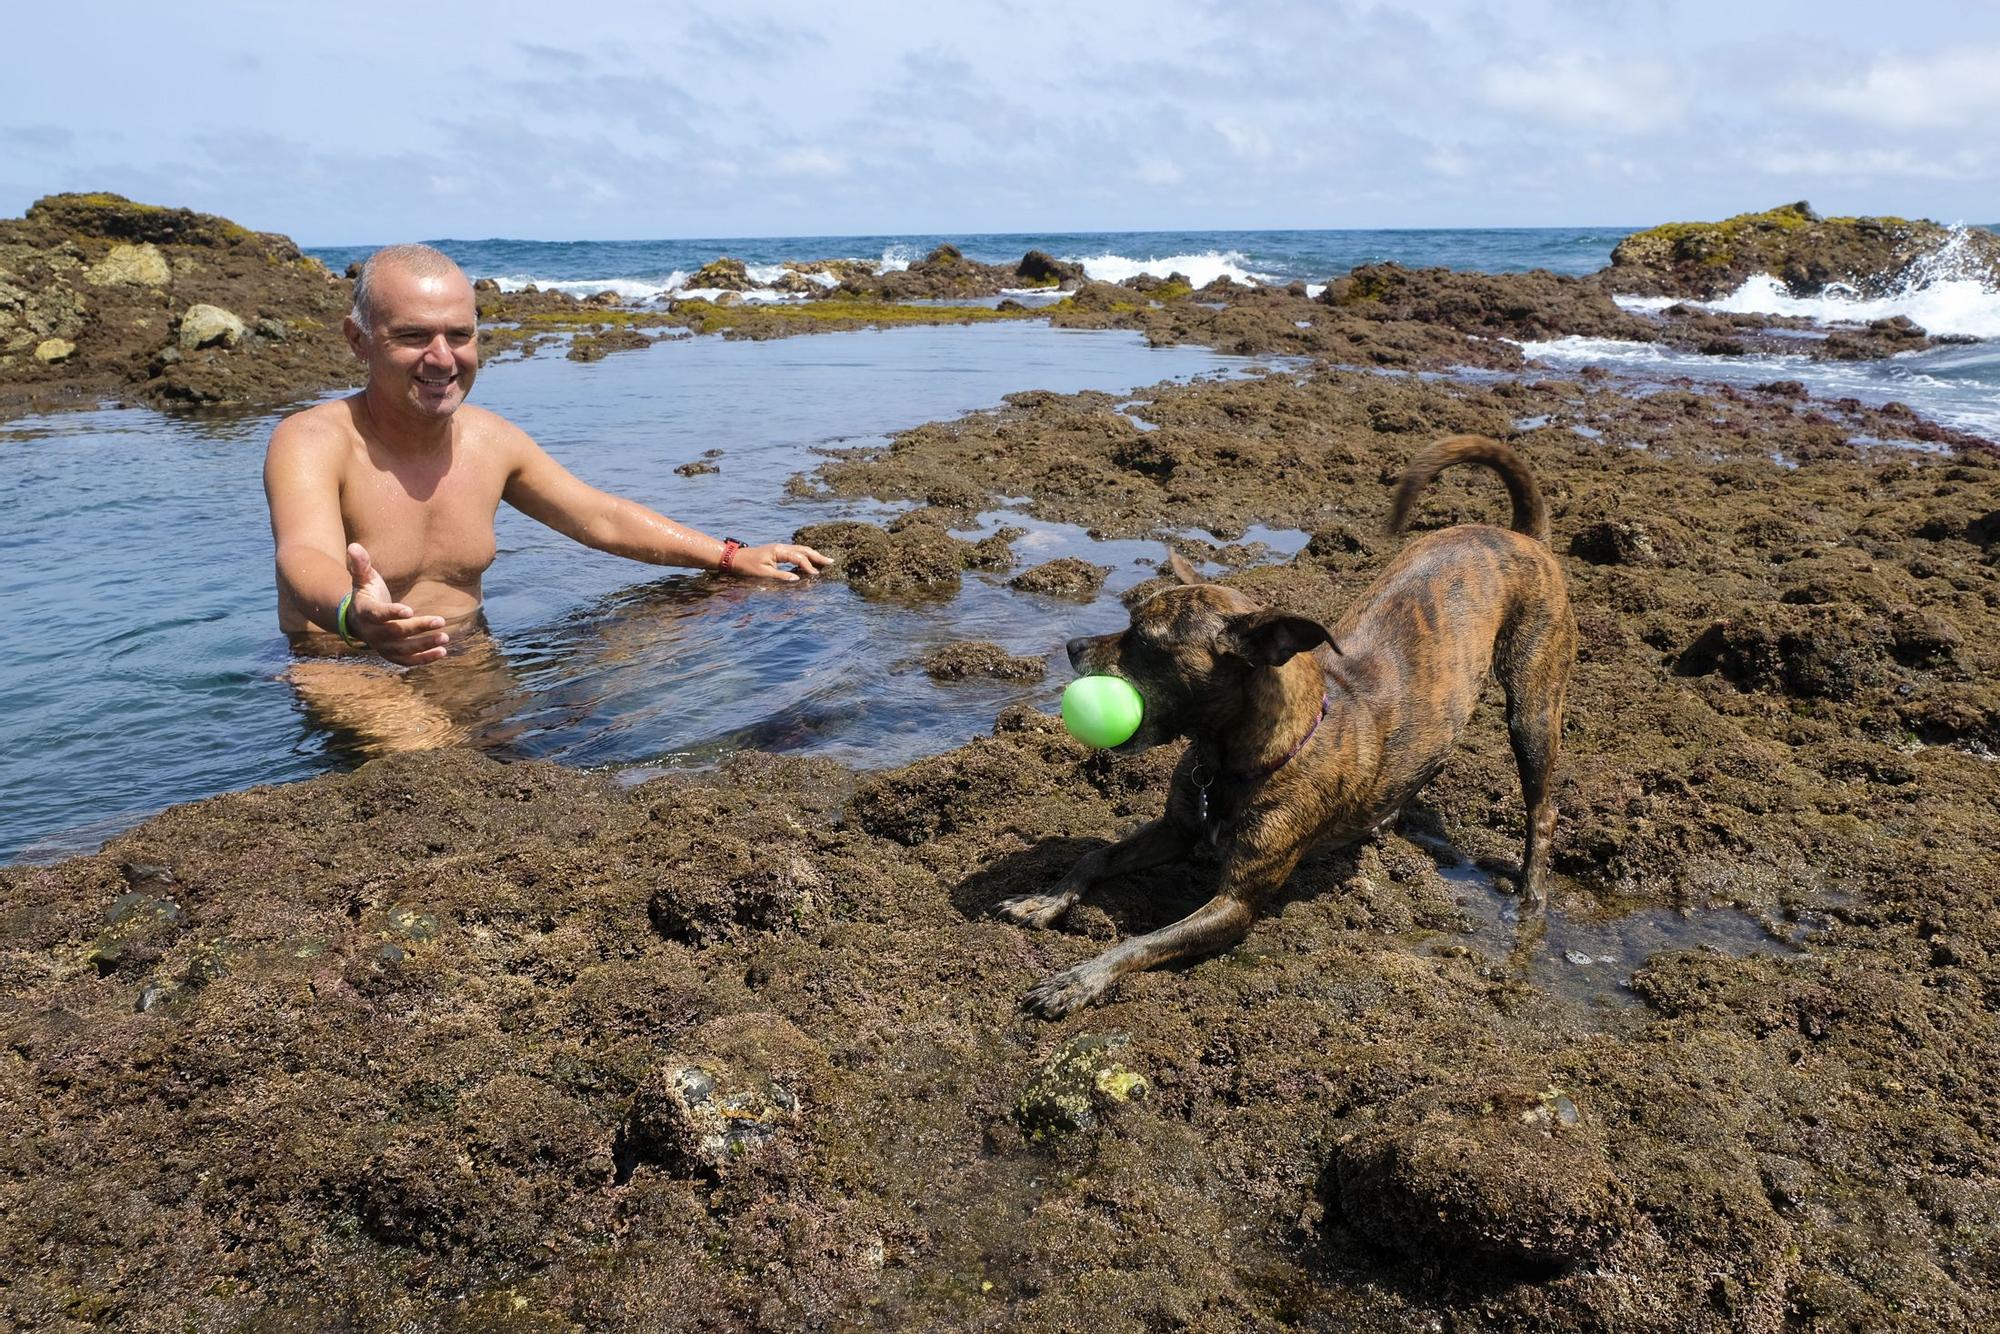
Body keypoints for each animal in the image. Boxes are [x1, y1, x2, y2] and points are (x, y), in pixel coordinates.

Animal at [1000, 434, 1576, 1016]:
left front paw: (1081, 978)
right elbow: (1096, 856)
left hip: (1532, 709)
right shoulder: (1176, 830)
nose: (1072, 647)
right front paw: (1043, 900)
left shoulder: (1235, 903)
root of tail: (1519, 536)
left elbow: (1143, 940)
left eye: (1143, 641)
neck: (1237, 758)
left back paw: (1531, 893)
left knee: (1543, 809)